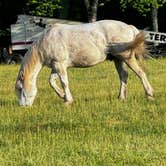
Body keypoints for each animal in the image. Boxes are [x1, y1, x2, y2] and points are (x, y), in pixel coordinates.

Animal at [14, 19, 154, 105]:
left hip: (127, 58)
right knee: (123, 76)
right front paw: (62, 96)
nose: (23, 107)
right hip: (118, 60)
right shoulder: (56, 66)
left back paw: (149, 95)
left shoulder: (59, 64)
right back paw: (121, 98)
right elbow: (52, 82)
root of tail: (129, 27)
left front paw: (68, 100)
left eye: (20, 89)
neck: (47, 41)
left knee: (141, 73)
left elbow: (64, 82)